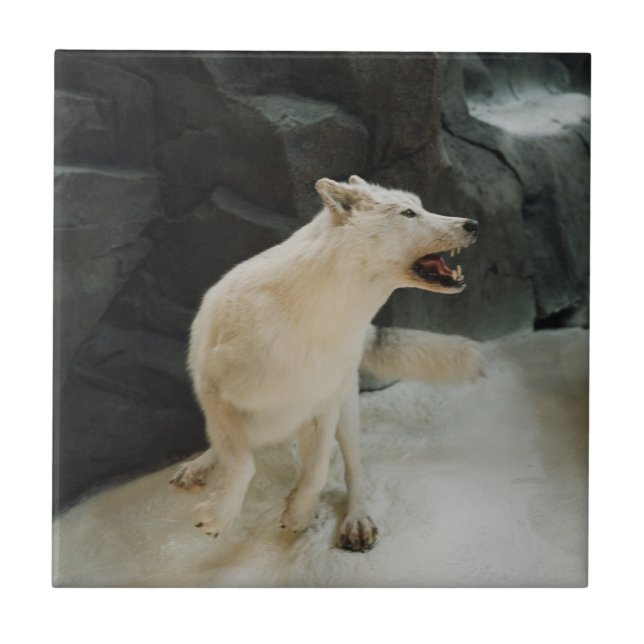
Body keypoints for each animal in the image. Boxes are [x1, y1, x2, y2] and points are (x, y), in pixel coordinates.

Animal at [170, 175, 482, 551]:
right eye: (409, 213)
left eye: (420, 206)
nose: (473, 224)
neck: (316, 325)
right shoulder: (216, 396)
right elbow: (242, 463)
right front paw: (220, 515)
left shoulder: (324, 407)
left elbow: (317, 471)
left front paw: (299, 512)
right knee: (226, 445)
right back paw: (198, 468)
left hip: (347, 410)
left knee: (354, 469)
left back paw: (356, 520)